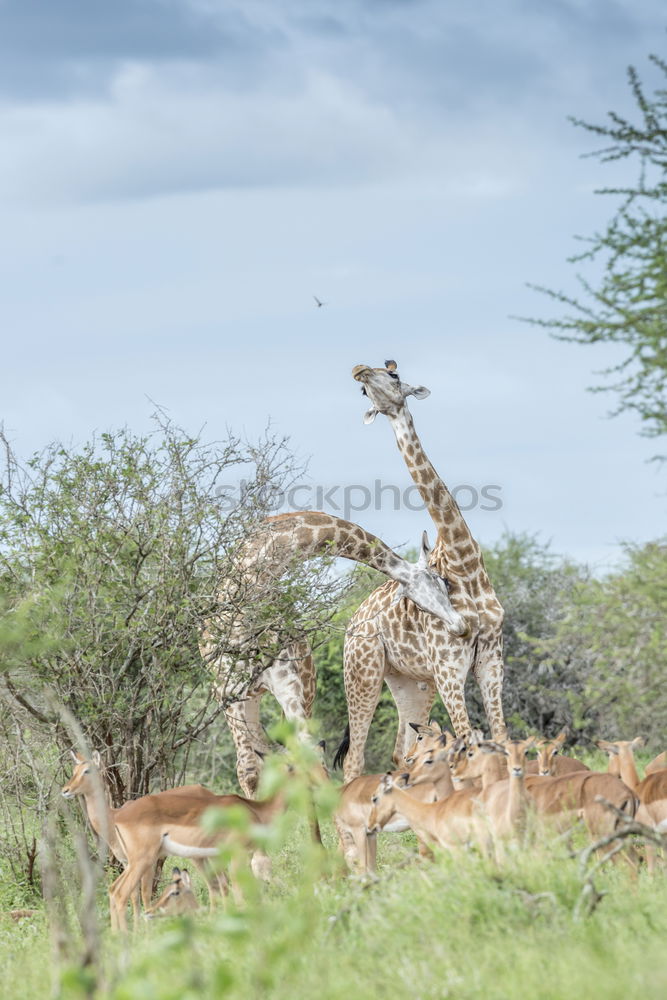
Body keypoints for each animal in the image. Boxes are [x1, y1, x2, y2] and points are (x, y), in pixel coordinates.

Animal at [201, 512, 468, 792]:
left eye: (445, 582)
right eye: (419, 602)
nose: (459, 625)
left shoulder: (288, 685)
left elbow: (308, 756)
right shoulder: (229, 692)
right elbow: (250, 770)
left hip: (302, 688)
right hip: (245, 699)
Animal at [336, 360, 508, 780]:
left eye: (393, 375)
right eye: (364, 391)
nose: (359, 371)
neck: (466, 565)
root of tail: (354, 619)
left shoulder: (491, 662)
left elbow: (501, 738)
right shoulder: (449, 668)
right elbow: (469, 739)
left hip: (411, 681)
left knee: (402, 750)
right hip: (363, 671)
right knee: (354, 758)